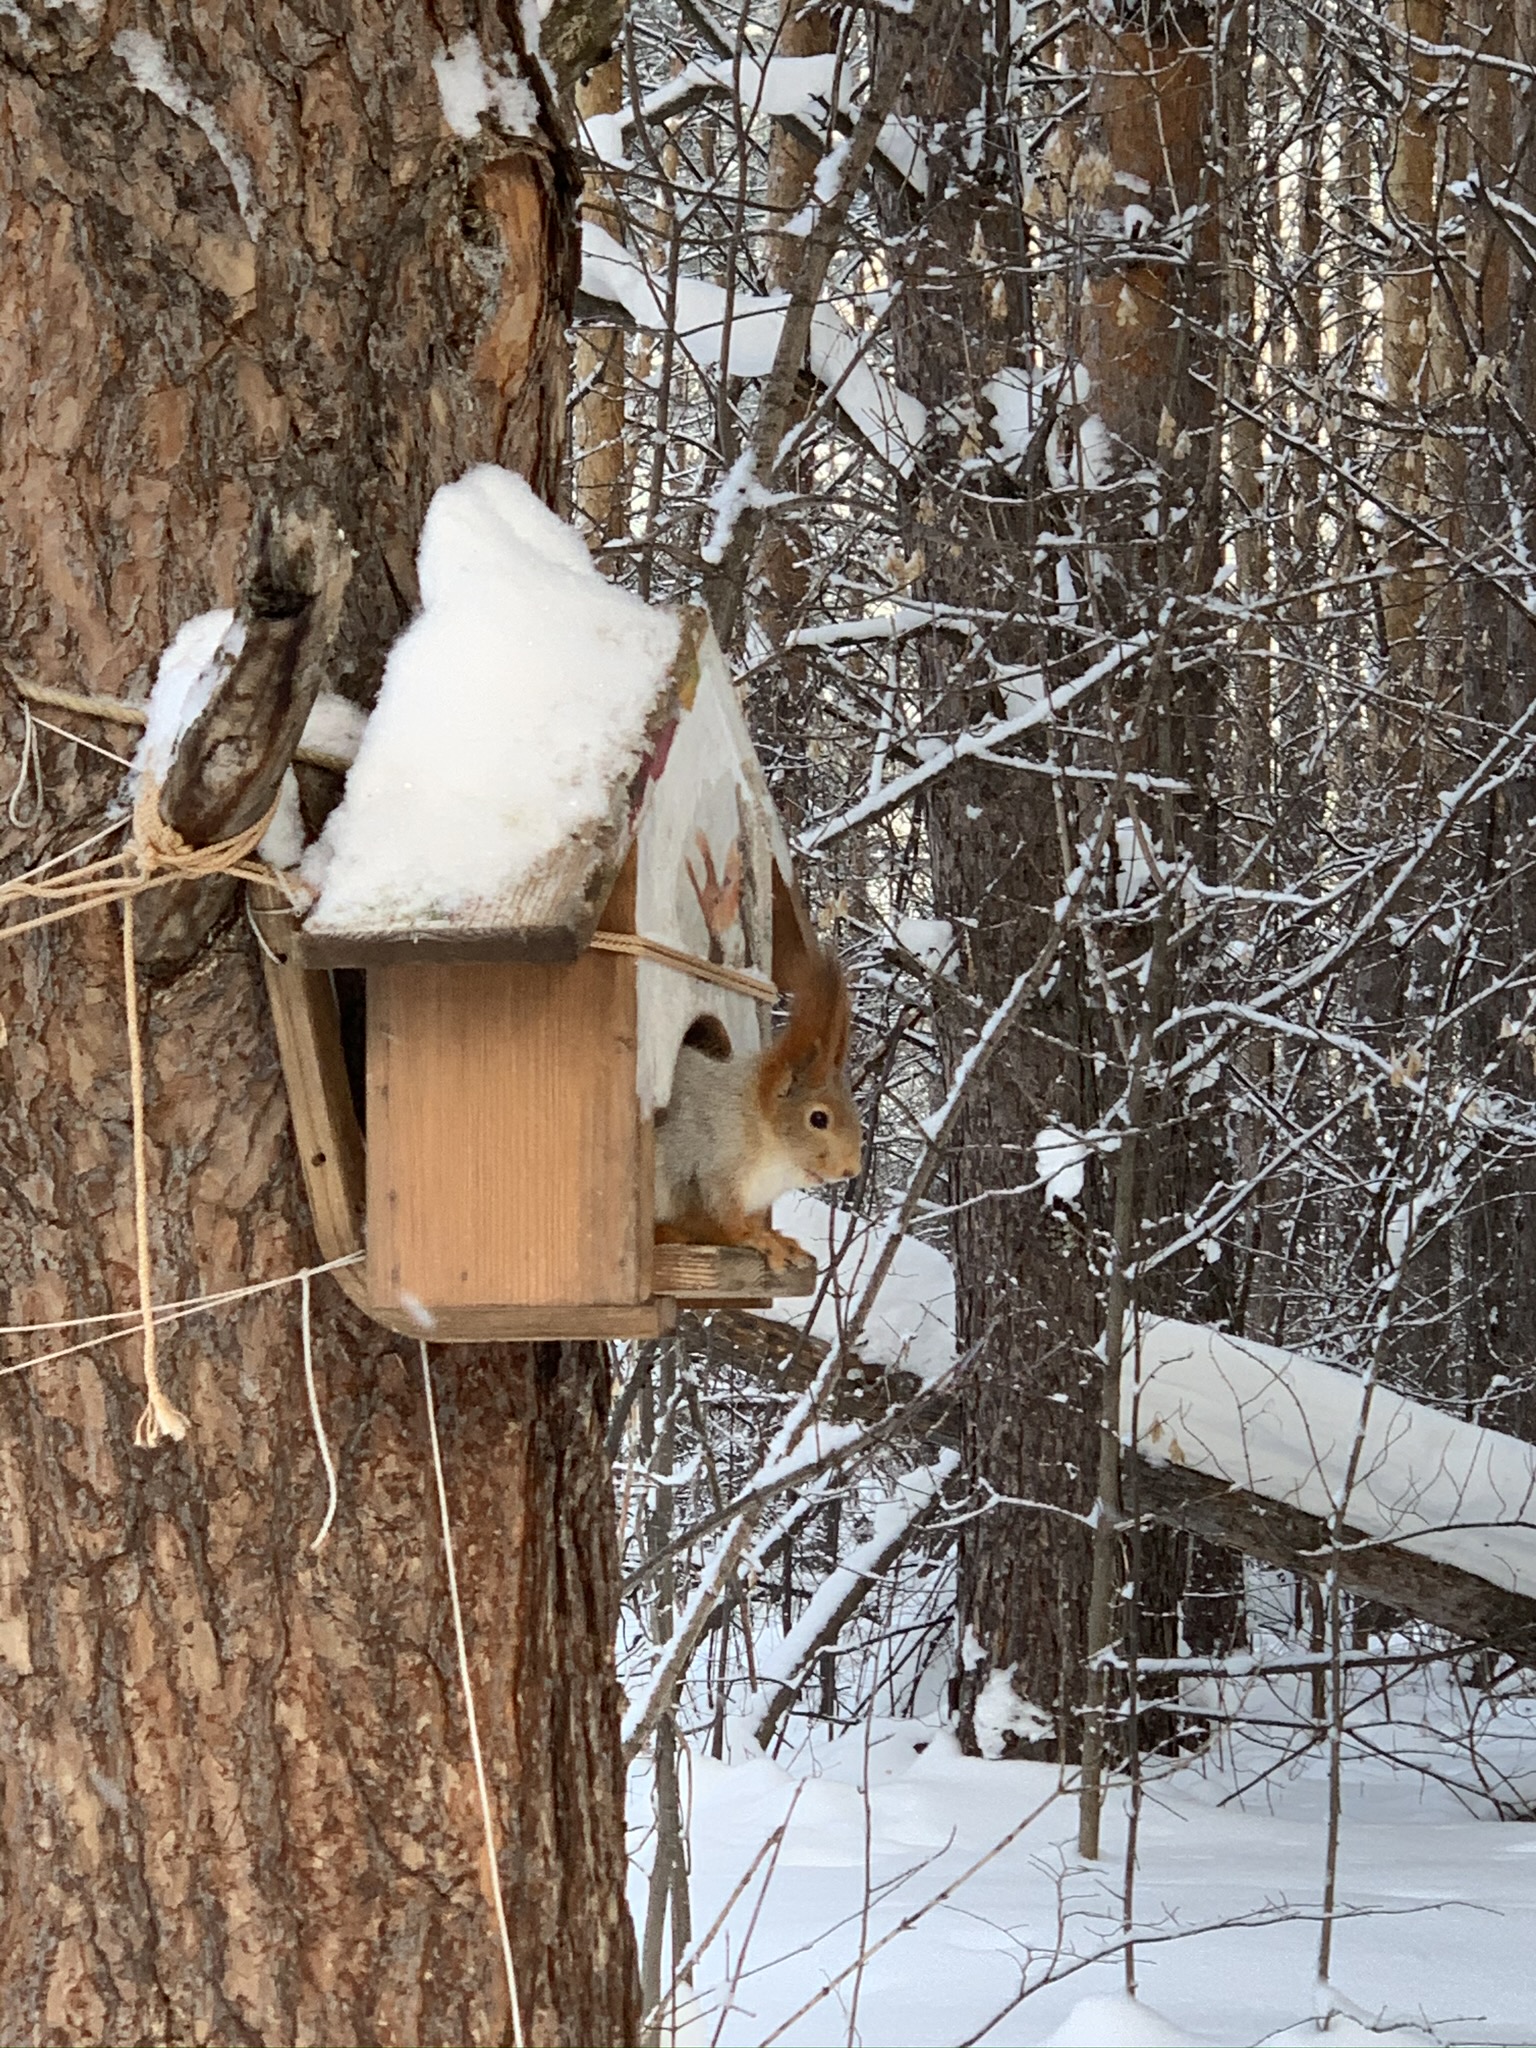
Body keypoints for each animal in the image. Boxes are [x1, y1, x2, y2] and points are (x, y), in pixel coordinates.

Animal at [655, 944, 862, 1273]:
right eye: (818, 1118)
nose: (850, 1170)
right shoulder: (707, 1164)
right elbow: (721, 1218)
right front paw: (756, 1239)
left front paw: (778, 1239)